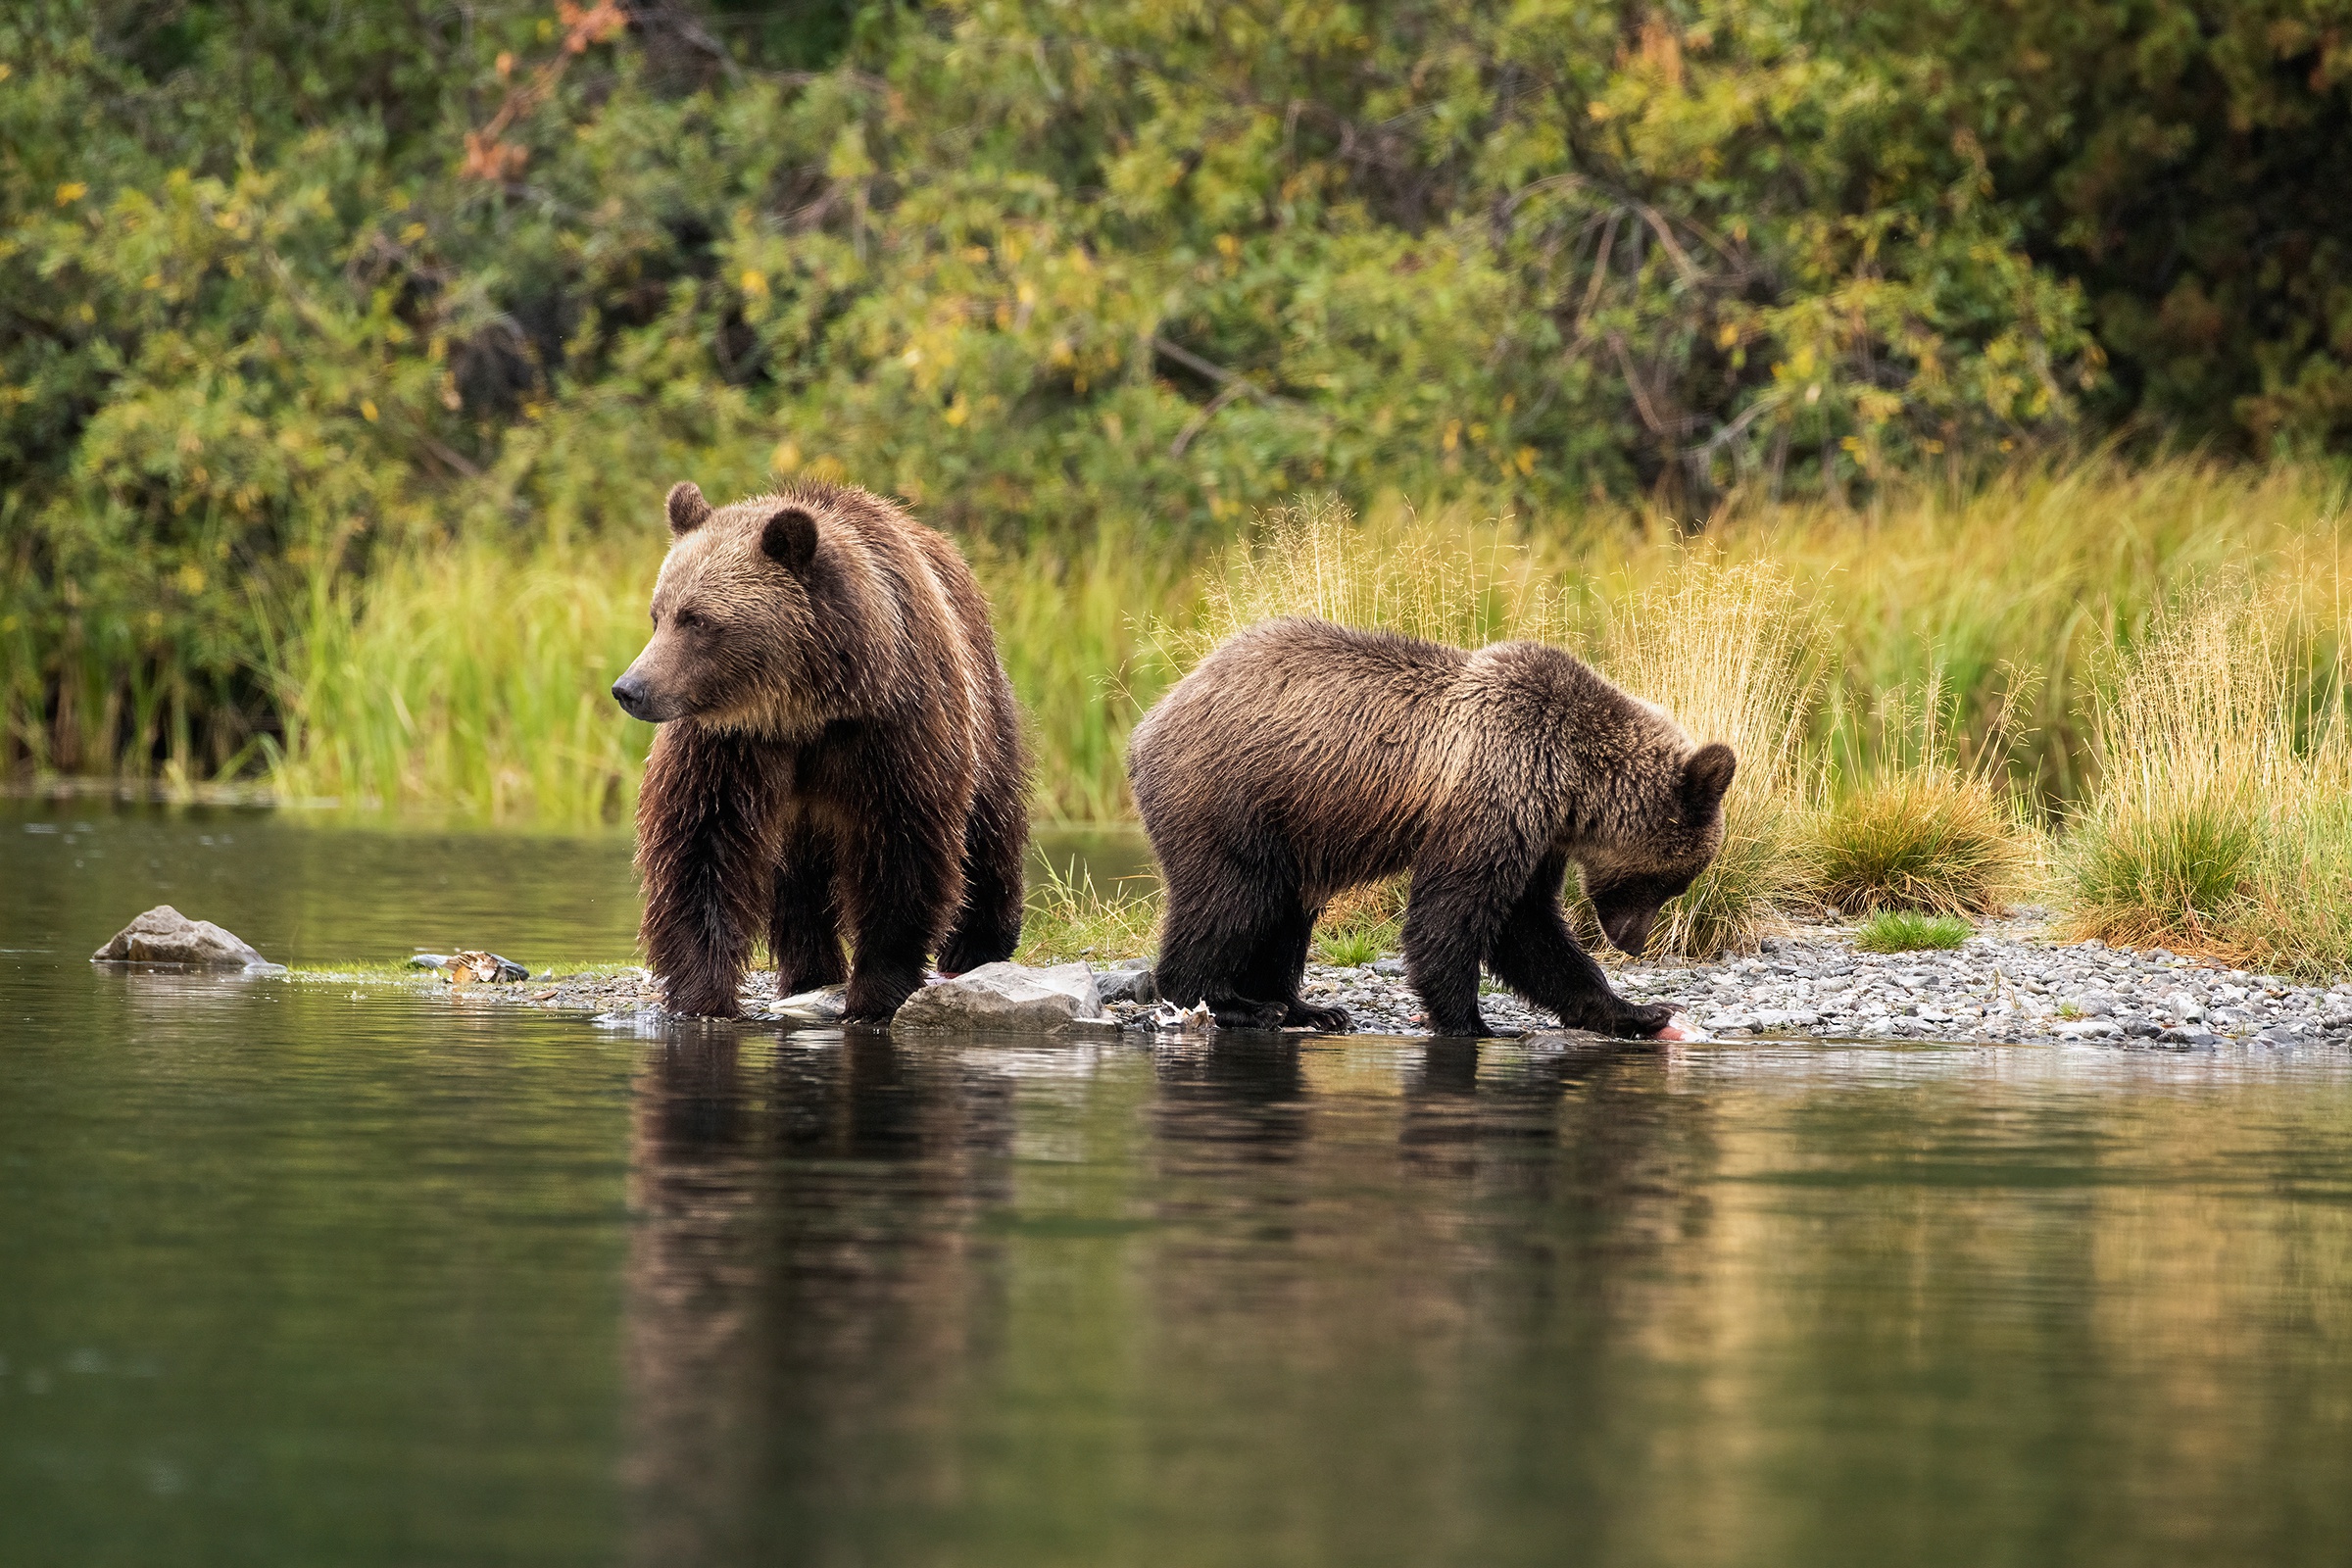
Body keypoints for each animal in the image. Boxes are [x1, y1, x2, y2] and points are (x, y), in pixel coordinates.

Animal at [615, 479, 1030, 1020]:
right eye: (657, 615)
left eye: (698, 621)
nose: (630, 688)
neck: (803, 710)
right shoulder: (727, 746)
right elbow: (699, 846)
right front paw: (703, 994)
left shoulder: (891, 729)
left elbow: (902, 847)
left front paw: (876, 991)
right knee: (796, 883)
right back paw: (807, 972)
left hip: (983, 705)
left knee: (989, 821)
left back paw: (976, 945)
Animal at [1129, 615, 1740, 1044]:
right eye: (1672, 882)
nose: (1633, 942)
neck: (1572, 785)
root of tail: (1152, 718)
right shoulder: (1497, 792)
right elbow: (1456, 912)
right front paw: (1472, 1022)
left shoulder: (1537, 833)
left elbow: (1530, 926)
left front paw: (1638, 1011)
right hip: (1231, 797)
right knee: (1231, 898)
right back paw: (1235, 1003)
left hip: (1291, 825)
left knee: (1286, 910)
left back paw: (1311, 1007)